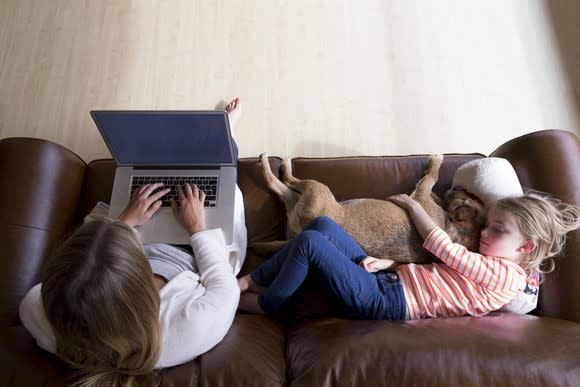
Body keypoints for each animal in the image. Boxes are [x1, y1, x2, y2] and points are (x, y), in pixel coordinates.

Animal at [254, 153, 484, 266]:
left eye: (466, 200)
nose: (456, 187)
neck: (450, 227)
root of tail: (303, 230)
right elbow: (430, 181)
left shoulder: (420, 197)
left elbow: (430, 177)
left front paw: (435, 162)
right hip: (303, 196)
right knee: (280, 184)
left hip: (316, 190)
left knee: (281, 181)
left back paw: (273, 162)